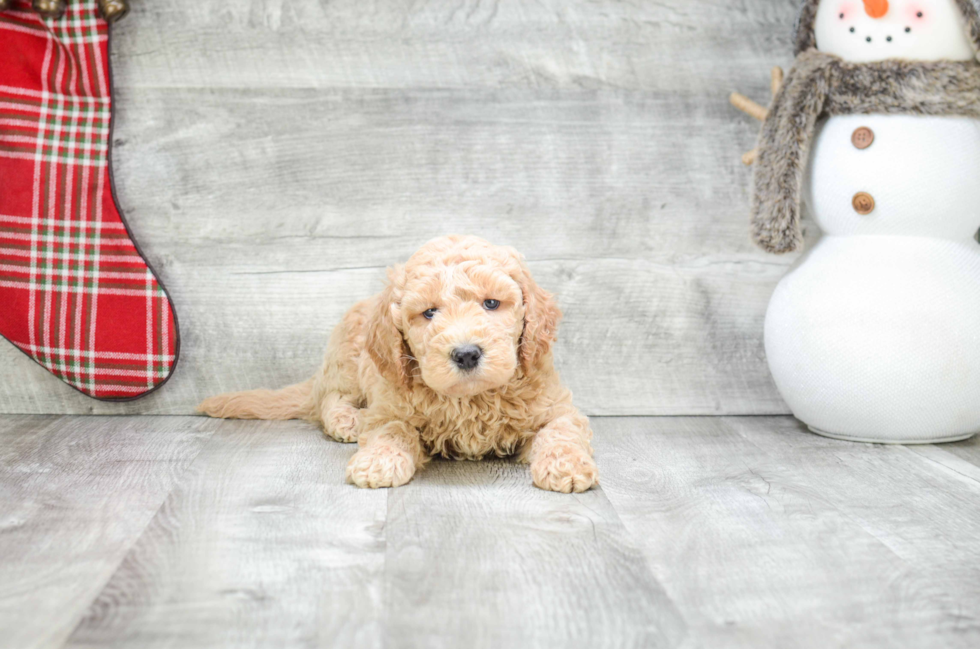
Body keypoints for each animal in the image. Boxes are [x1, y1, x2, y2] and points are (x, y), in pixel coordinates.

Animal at [199, 235, 596, 494]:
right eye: (429, 313)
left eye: (492, 304)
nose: (466, 353)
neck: (471, 400)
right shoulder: (388, 405)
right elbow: (392, 430)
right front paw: (378, 462)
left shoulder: (556, 406)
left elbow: (561, 432)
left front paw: (565, 465)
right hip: (348, 360)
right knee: (330, 399)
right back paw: (346, 420)